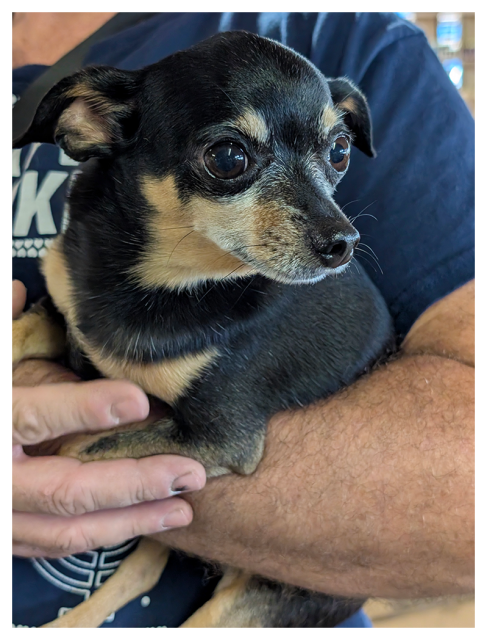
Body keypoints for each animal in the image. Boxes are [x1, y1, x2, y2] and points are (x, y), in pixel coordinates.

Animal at [13, 32, 394, 628]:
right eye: (229, 158)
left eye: (339, 151)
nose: (343, 242)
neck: (161, 280)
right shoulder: (65, 318)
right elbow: (21, 332)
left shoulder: (221, 439)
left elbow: (83, 448)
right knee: (143, 571)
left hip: (259, 599)